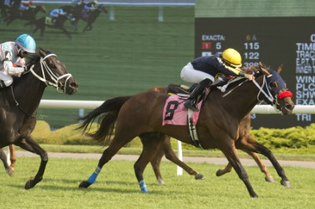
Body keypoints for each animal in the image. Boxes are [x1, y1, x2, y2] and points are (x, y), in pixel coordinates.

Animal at [0, 49, 78, 189]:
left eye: (62, 63)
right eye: (52, 65)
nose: (73, 85)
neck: (14, 104)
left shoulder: (21, 138)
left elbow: (44, 155)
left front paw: (31, 182)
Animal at [79, 67, 296, 198]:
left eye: (284, 83)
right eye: (274, 84)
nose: (290, 105)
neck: (230, 105)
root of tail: (131, 98)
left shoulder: (241, 139)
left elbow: (268, 152)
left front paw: (284, 179)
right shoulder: (225, 142)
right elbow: (240, 168)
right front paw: (253, 193)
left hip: (152, 138)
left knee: (140, 164)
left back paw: (145, 188)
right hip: (126, 132)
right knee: (107, 155)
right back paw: (87, 182)